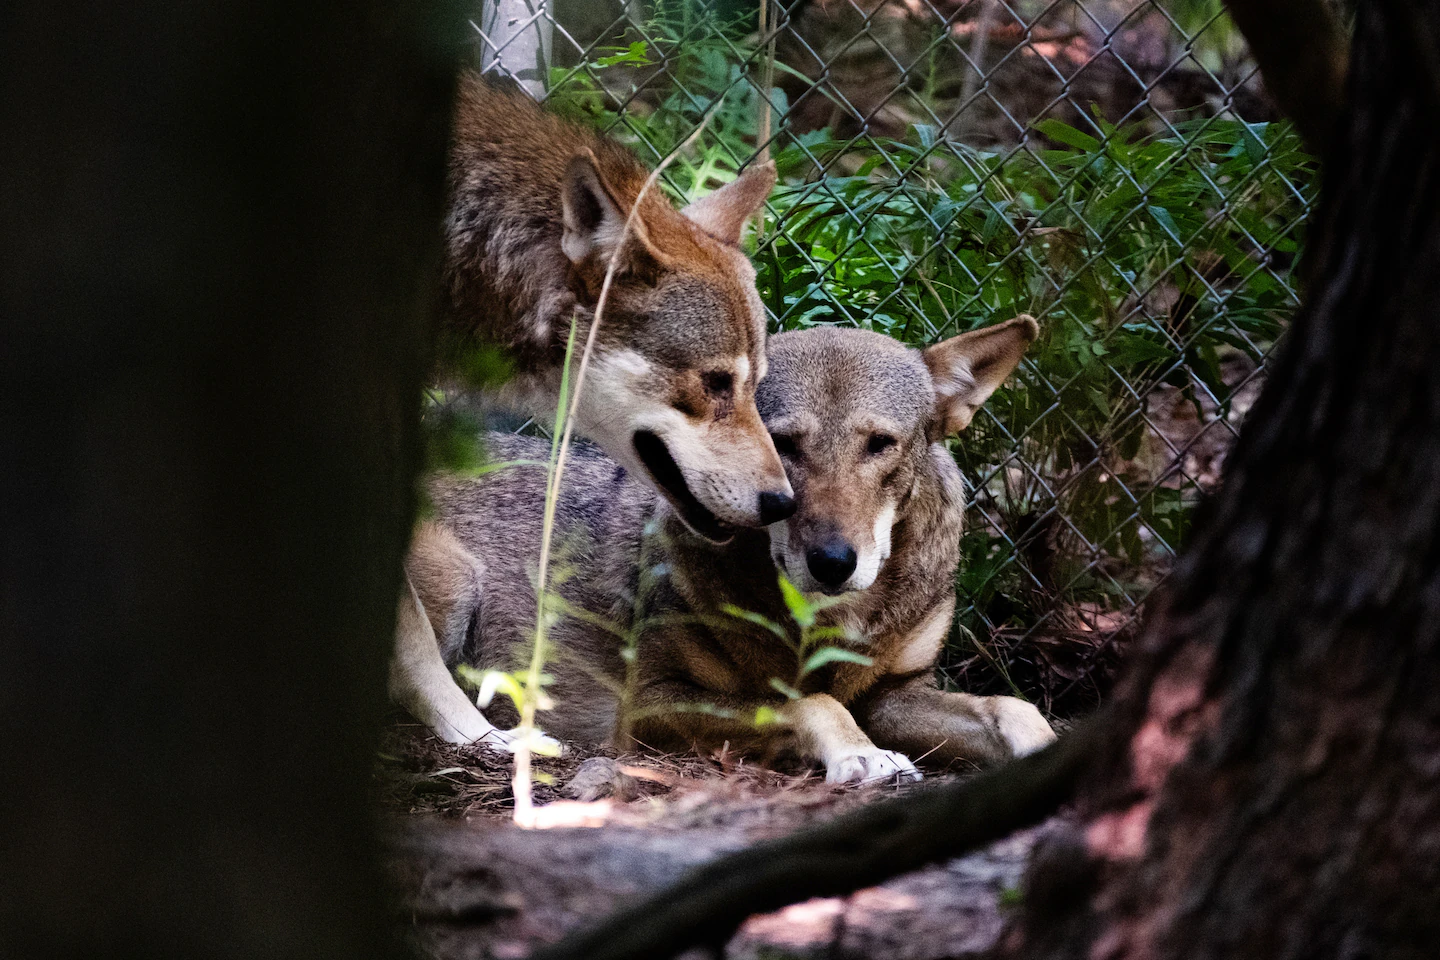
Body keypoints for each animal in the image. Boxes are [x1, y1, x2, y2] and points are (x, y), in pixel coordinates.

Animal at [412, 317, 1057, 780]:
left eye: (880, 444)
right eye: (783, 444)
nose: (833, 562)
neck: (832, 621)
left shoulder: (893, 695)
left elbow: (1015, 707)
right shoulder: (646, 707)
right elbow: (810, 703)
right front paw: (862, 753)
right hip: (456, 583)